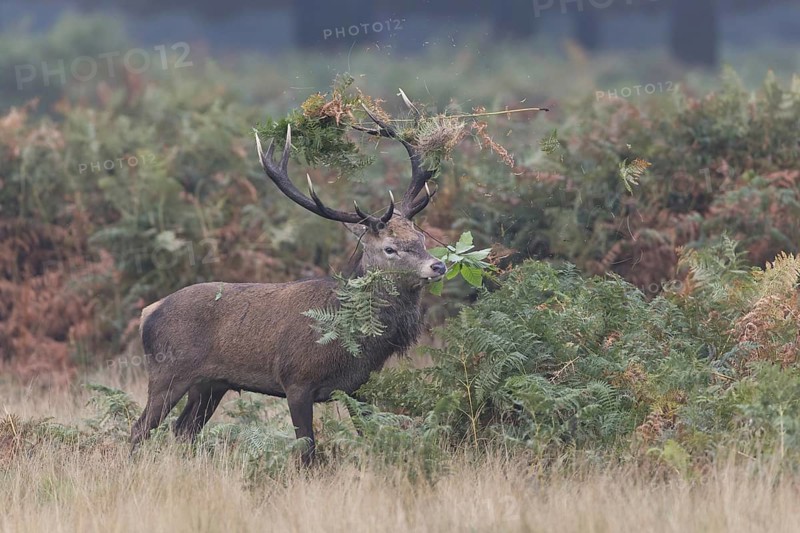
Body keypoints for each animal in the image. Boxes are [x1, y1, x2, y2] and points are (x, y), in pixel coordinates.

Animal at [129, 104, 446, 465]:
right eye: (389, 248)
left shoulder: (359, 386)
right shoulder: (296, 380)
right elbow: (306, 450)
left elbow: (372, 436)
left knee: (183, 430)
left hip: (211, 384)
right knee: (141, 428)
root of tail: (148, 312)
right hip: (168, 372)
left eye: (421, 238)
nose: (438, 265)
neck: (351, 343)